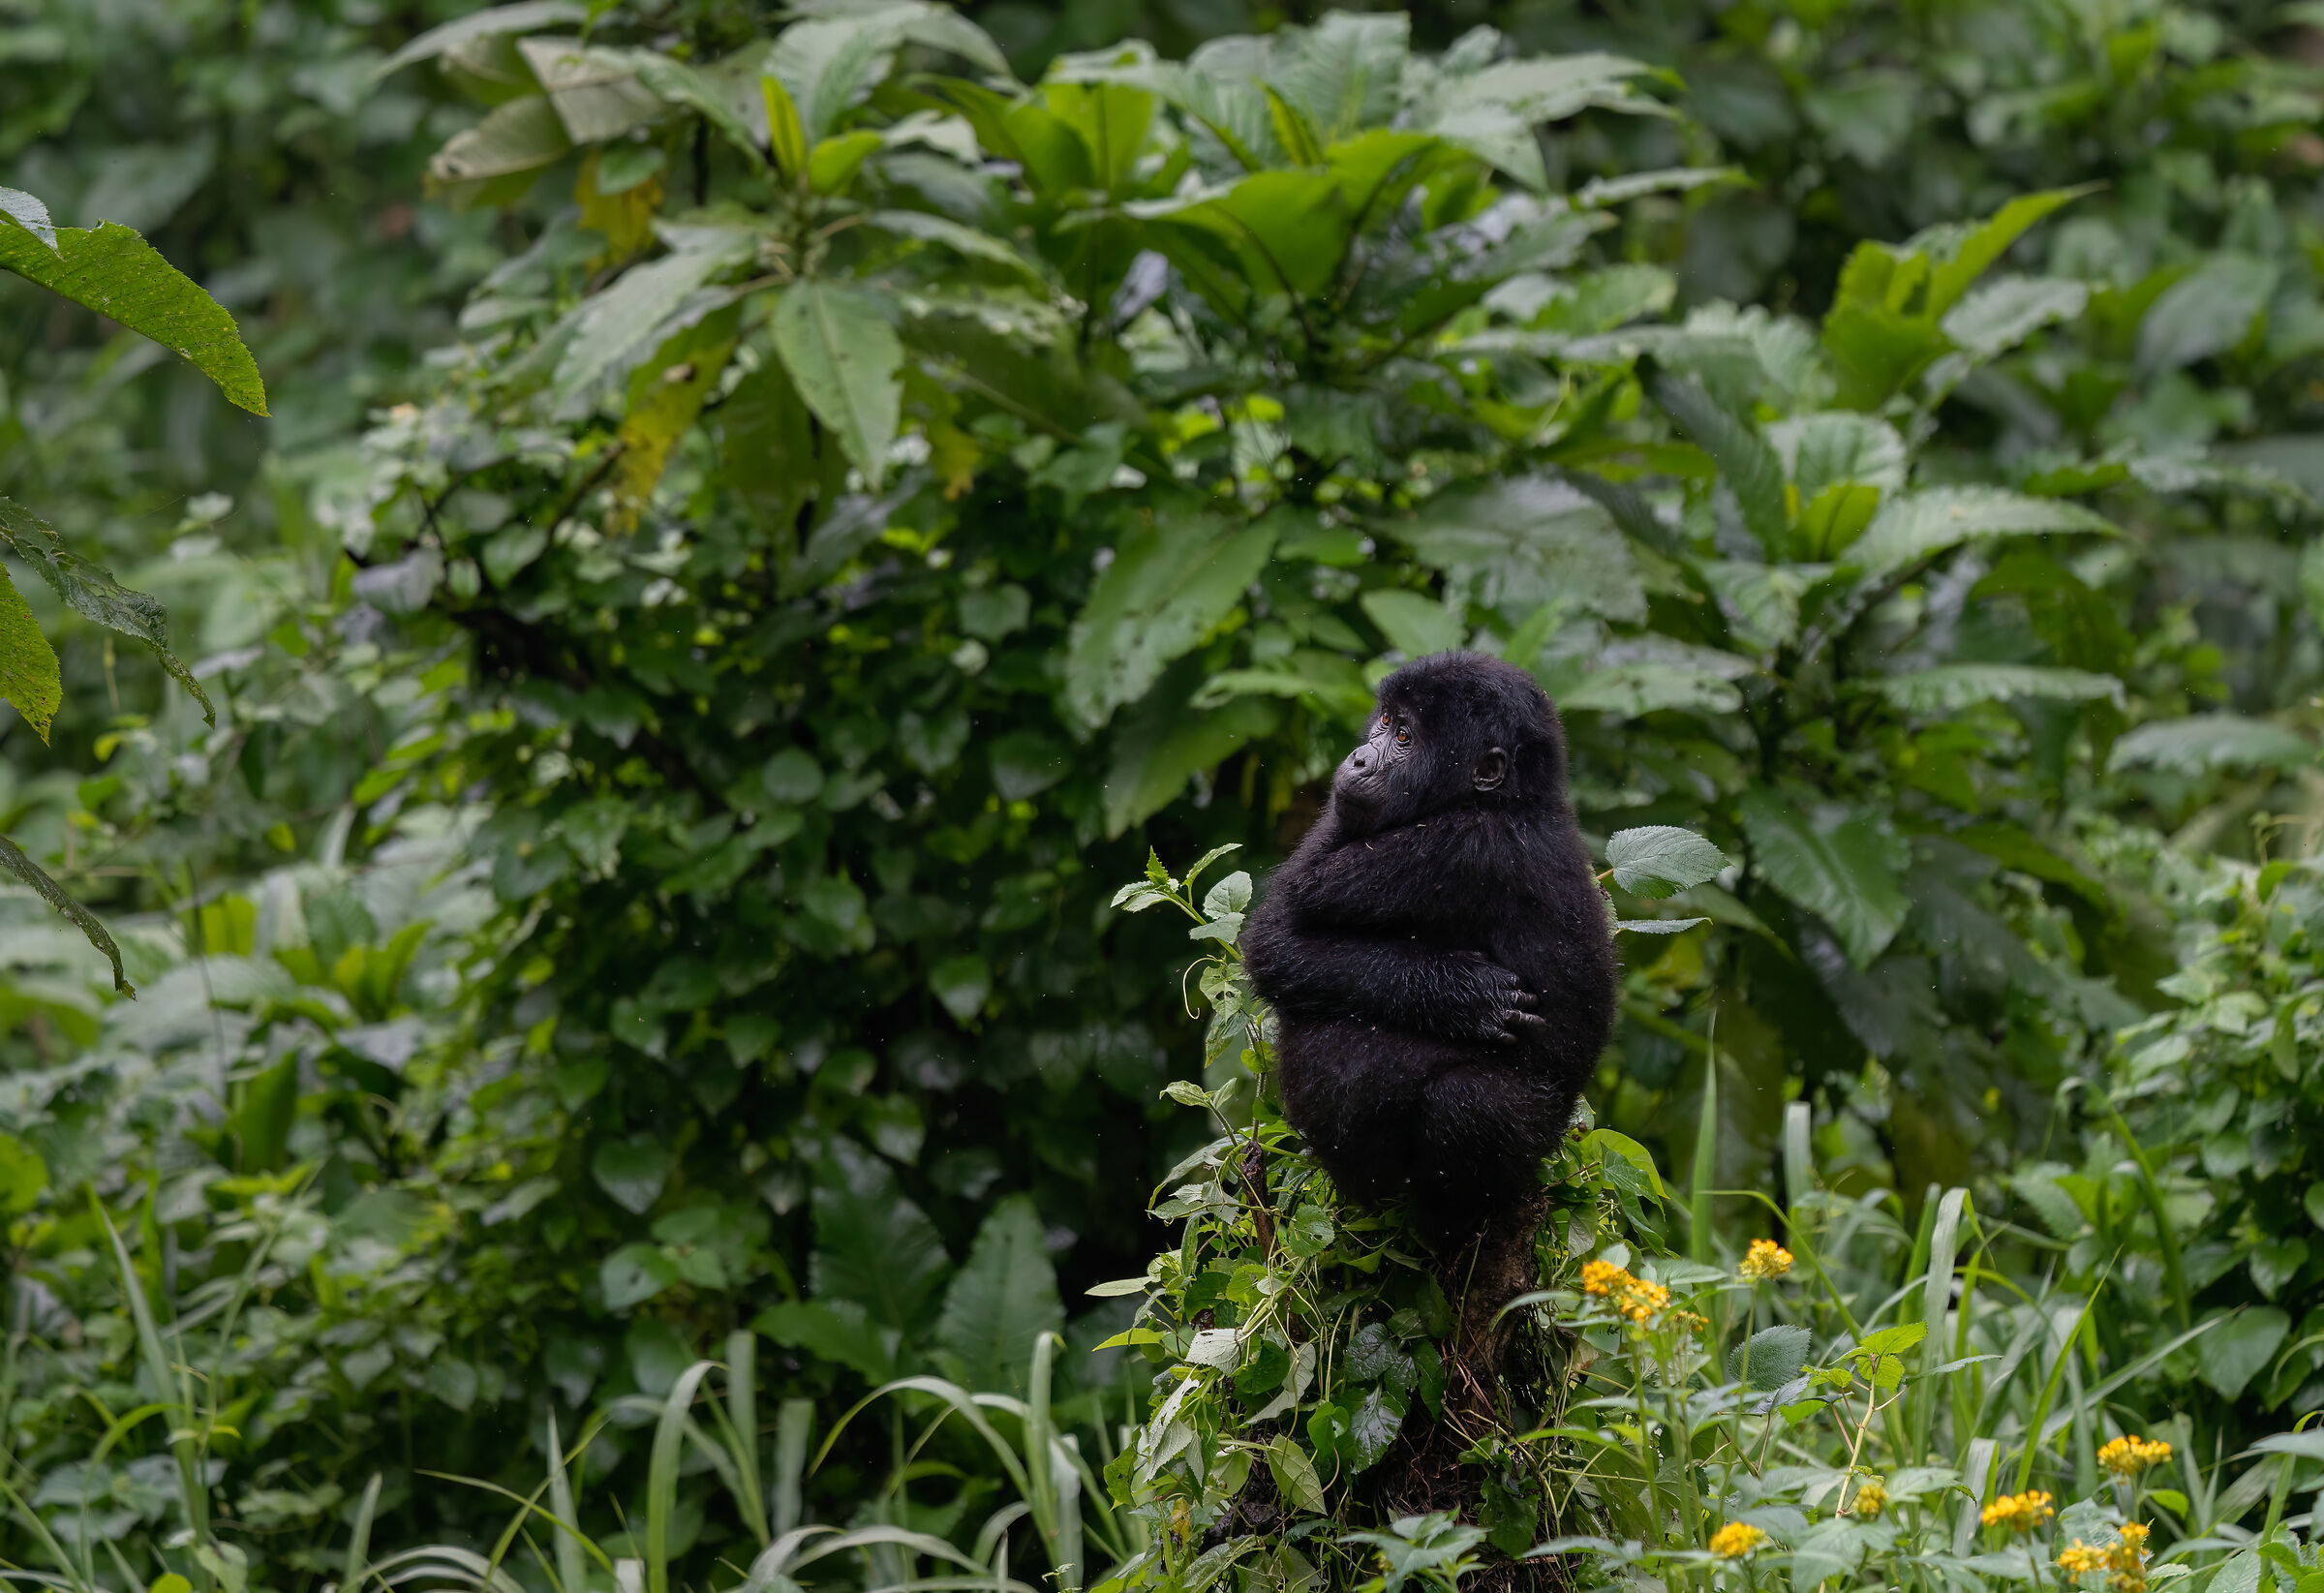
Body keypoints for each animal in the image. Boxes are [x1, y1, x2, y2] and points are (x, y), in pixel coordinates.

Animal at [1241, 652, 1619, 1251]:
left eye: (1404, 737)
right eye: (1383, 721)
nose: (1358, 758)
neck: (1513, 796)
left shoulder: (1461, 846)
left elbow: (1296, 914)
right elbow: (1277, 940)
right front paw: (1468, 997)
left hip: (1538, 1146)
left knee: (1469, 1104)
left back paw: (1452, 1226)